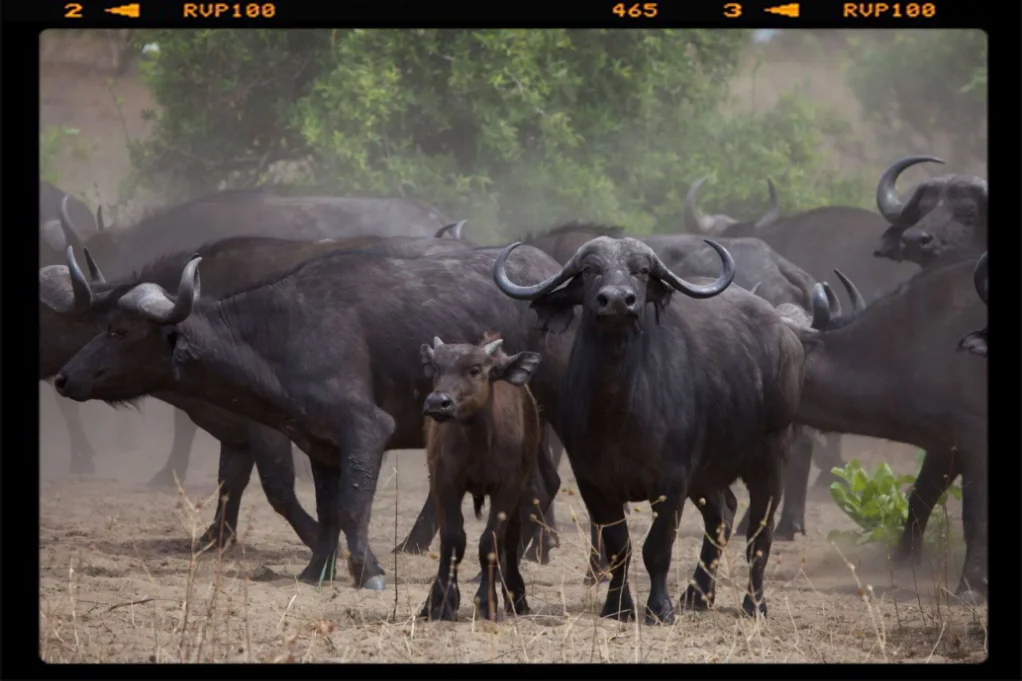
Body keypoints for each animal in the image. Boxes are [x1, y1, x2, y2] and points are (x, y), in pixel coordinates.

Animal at [493, 235, 805, 622]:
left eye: (641, 270)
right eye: (589, 270)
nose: (616, 300)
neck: (618, 408)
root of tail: (787, 336)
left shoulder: (671, 482)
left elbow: (658, 547)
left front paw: (659, 608)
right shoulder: (593, 482)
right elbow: (618, 546)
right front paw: (618, 606)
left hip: (772, 457)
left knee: (759, 534)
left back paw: (754, 604)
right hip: (707, 474)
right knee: (723, 514)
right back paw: (698, 595)